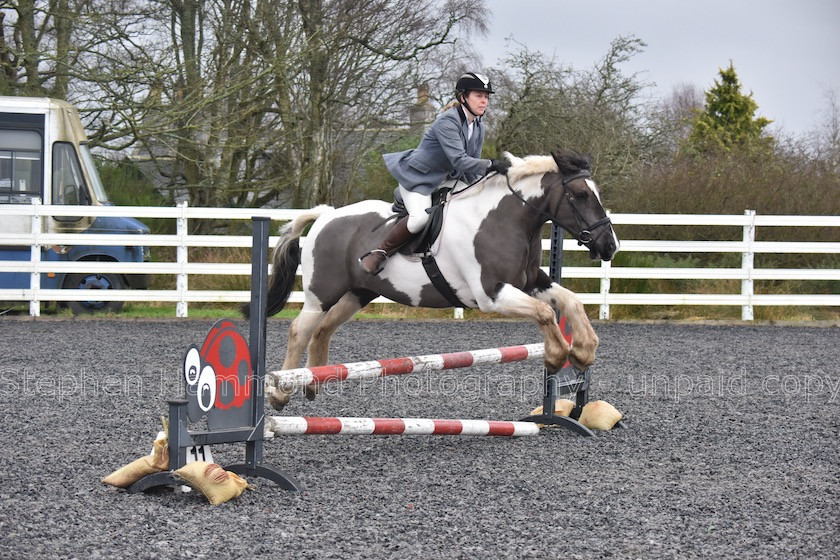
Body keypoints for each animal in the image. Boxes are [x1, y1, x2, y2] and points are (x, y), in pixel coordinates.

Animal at [256, 149, 616, 412]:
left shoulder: (531, 282)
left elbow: (570, 301)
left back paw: (314, 382)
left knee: (323, 330)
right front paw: (556, 355)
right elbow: (544, 313)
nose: (609, 246)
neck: (506, 219)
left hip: (357, 293)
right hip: (321, 294)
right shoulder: (491, 294)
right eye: (581, 194)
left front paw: (583, 350)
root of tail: (326, 215)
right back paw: (281, 393)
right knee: (300, 330)